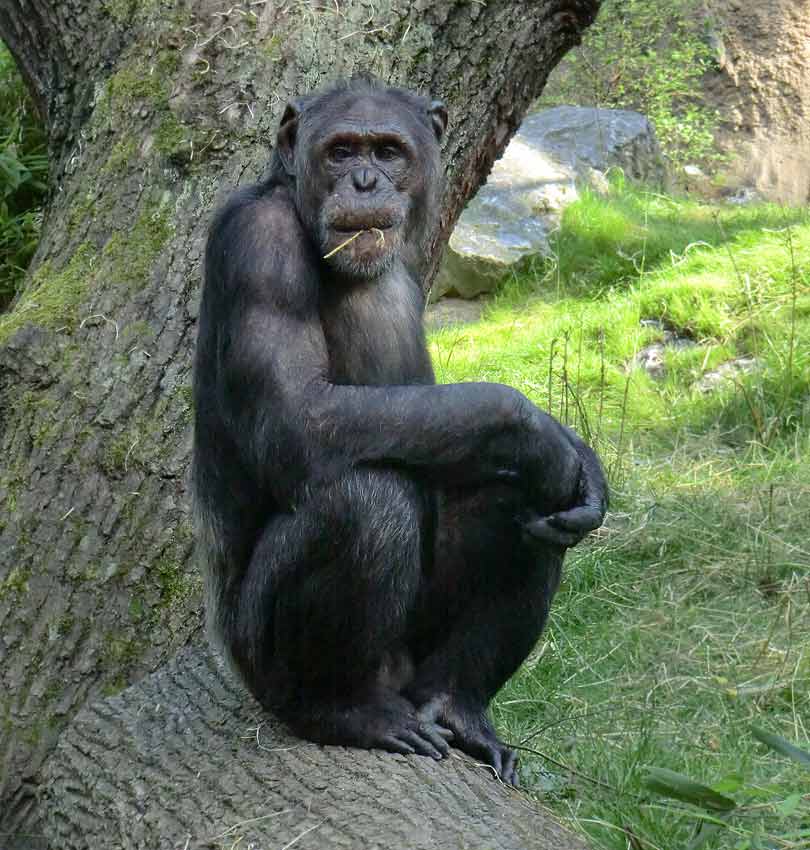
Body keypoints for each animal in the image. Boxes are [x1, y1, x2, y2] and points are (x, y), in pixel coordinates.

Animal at [191, 74, 608, 780]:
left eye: (387, 151)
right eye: (340, 152)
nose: (364, 182)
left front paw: (585, 465)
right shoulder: (258, 247)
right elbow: (301, 412)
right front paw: (537, 432)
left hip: (416, 657)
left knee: (524, 503)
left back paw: (457, 707)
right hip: (263, 661)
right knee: (367, 499)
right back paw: (343, 710)